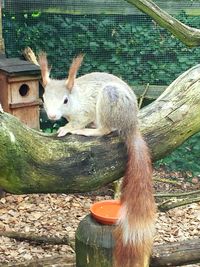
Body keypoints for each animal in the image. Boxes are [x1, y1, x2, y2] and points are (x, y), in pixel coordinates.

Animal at [38, 52, 156, 267]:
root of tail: (131, 124)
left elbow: (78, 121)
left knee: (105, 130)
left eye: (65, 100)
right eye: (43, 98)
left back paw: (88, 130)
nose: (52, 116)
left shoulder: (84, 111)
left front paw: (67, 128)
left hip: (109, 101)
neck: (75, 99)